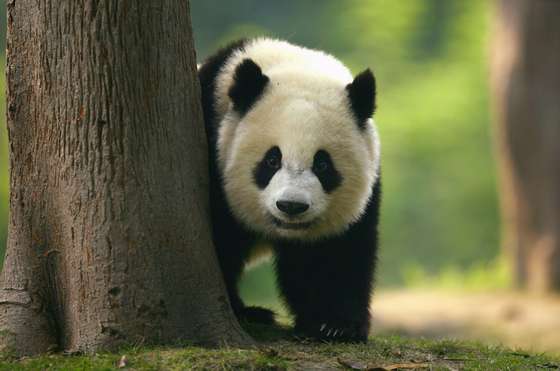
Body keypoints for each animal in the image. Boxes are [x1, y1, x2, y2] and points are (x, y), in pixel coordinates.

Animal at [197, 37, 380, 342]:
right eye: (272, 160)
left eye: (322, 164)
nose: (291, 206)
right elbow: (221, 241)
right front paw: (239, 310)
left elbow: (334, 254)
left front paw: (335, 324)